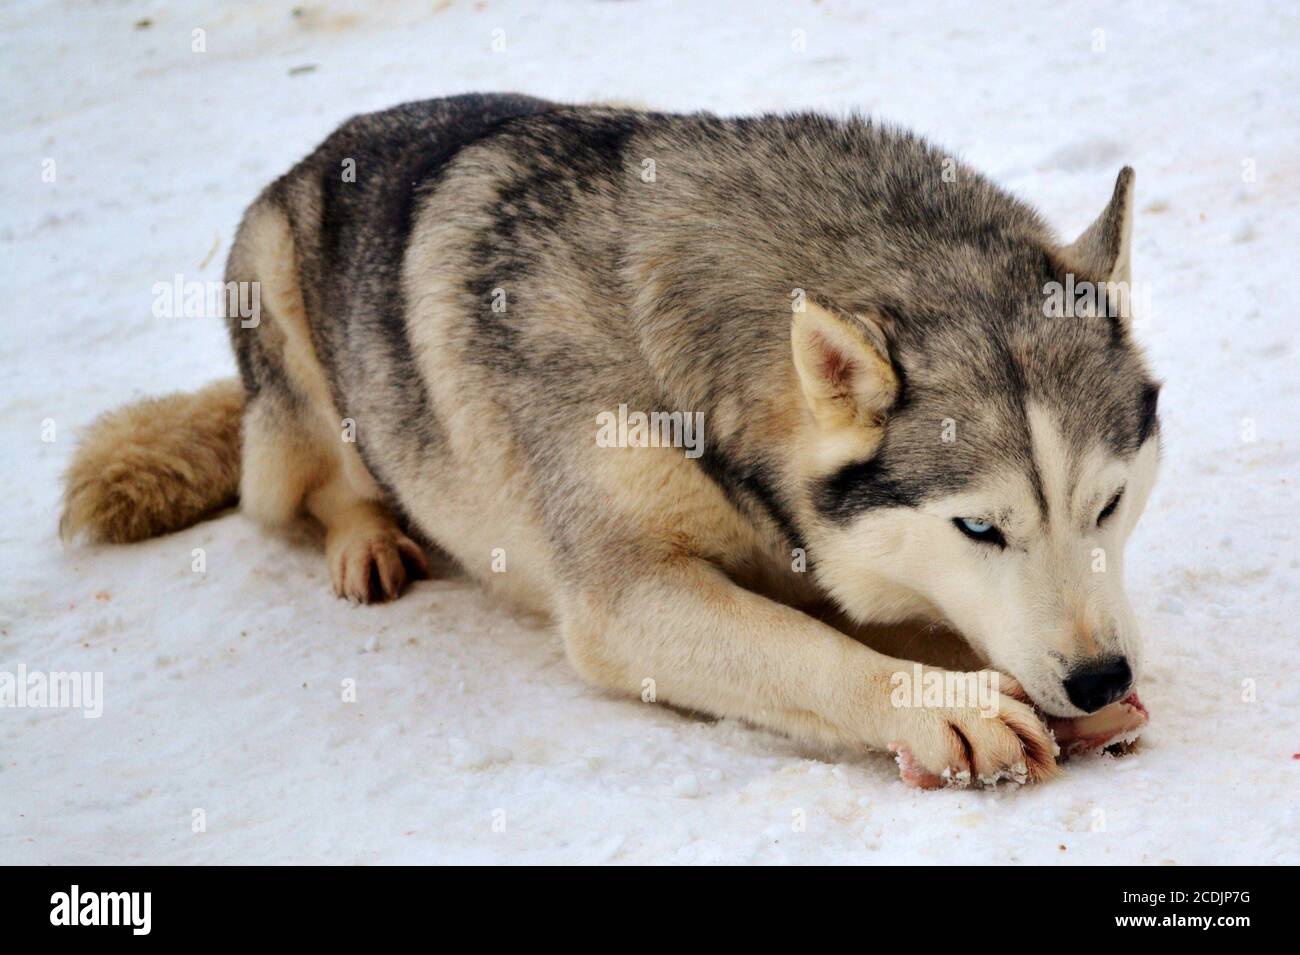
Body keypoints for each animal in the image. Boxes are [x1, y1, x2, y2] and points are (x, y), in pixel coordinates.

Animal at [61, 93, 1159, 789]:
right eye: (980, 528)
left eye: (1108, 504)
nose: (1101, 677)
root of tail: (324, 145)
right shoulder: (625, 597)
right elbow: (805, 646)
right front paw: (936, 704)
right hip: (279, 330)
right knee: (317, 483)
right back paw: (365, 536)